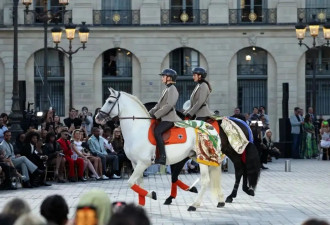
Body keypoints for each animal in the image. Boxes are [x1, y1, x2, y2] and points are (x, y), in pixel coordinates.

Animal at [94, 88, 224, 211]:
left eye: (109, 101)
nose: (97, 118)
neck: (137, 129)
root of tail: (209, 127)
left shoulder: (143, 163)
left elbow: (130, 182)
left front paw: (152, 195)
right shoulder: (135, 163)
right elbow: (139, 183)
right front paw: (141, 204)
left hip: (202, 158)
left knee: (205, 180)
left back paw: (194, 205)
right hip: (196, 157)